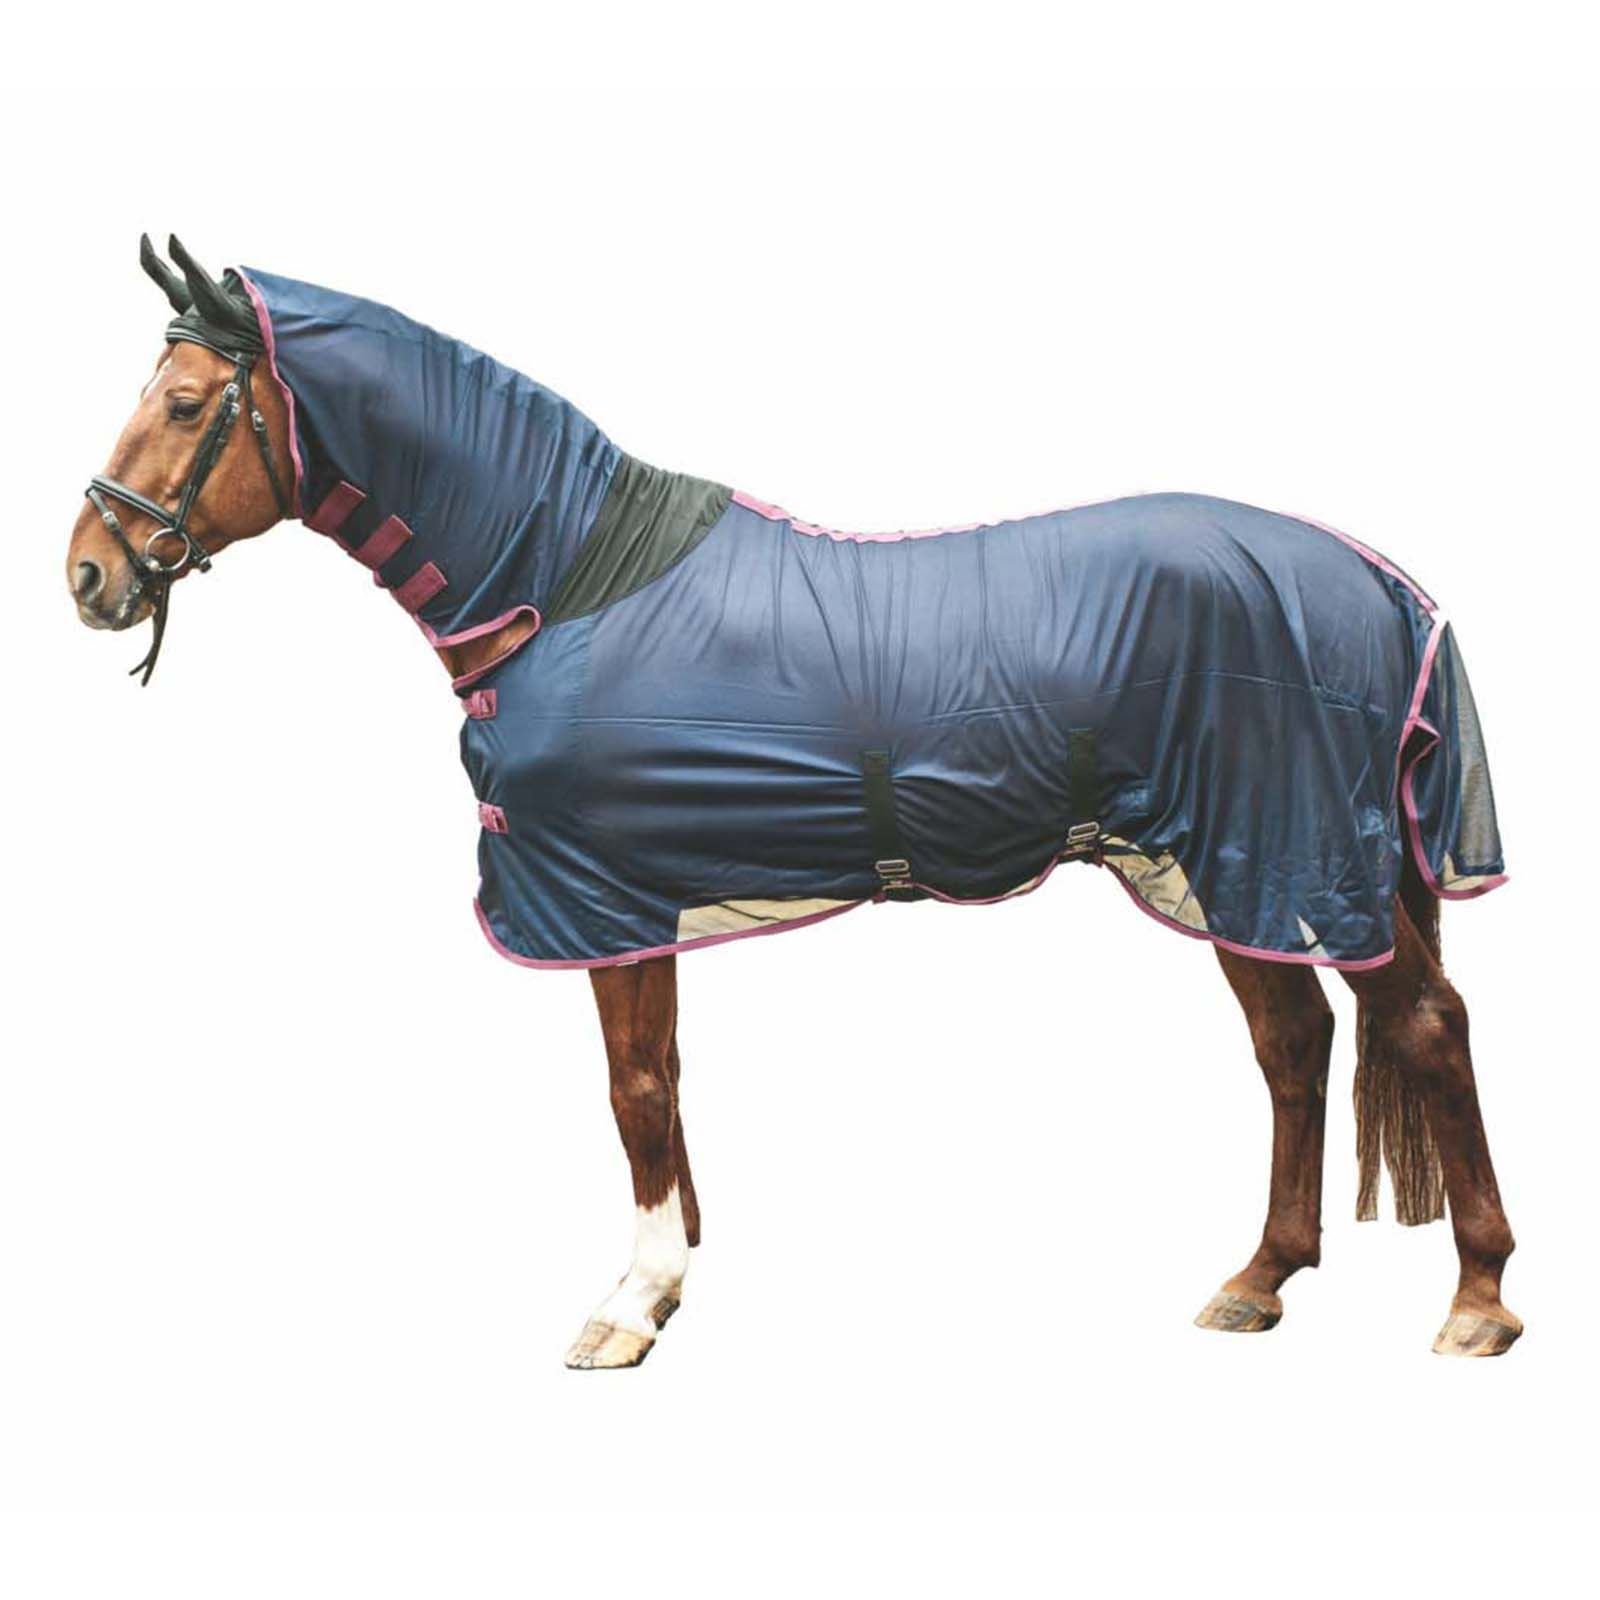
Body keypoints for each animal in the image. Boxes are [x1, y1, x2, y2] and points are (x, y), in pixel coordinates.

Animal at [66, 237, 1521, 1367]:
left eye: (186, 403)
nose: (88, 573)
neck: (570, 580)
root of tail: (1378, 582)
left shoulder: (602, 899)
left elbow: (635, 1092)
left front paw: (631, 1302)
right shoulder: (634, 903)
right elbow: (662, 1091)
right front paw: (670, 1274)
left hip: (1295, 856)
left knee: (1426, 1029)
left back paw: (1477, 1301)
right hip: (1232, 863)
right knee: (1295, 1045)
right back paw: (1257, 1280)